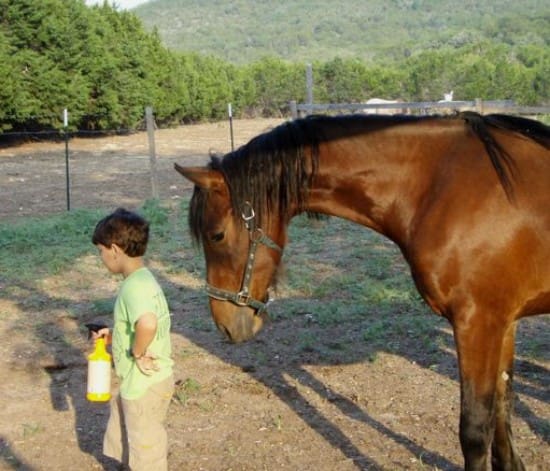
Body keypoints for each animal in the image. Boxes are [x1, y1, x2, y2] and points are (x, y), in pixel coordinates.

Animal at [178, 114, 550, 471]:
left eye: (216, 235)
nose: (226, 325)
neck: (440, 185)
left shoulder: (477, 324)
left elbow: (474, 429)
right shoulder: (503, 323)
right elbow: (502, 409)